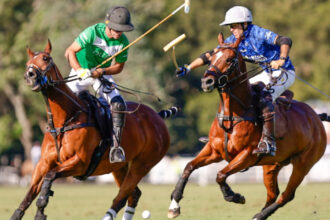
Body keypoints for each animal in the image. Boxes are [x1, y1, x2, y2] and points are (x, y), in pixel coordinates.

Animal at [9, 39, 178, 220]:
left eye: (46, 58)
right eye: (28, 63)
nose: (29, 76)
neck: (65, 121)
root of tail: (158, 116)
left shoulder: (80, 162)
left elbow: (49, 178)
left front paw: (41, 210)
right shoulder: (43, 163)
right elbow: (29, 195)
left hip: (142, 165)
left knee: (121, 197)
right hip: (119, 167)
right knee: (133, 195)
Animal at [169, 33, 328, 219]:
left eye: (229, 59)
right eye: (211, 58)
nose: (206, 82)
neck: (232, 115)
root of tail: (316, 117)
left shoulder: (247, 154)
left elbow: (220, 175)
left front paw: (234, 196)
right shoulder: (214, 150)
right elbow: (189, 167)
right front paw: (174, 205)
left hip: (303, 164)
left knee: (287, 195)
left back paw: (259, 215)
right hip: (272, 165)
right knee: (273, 194)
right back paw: (259, 214)